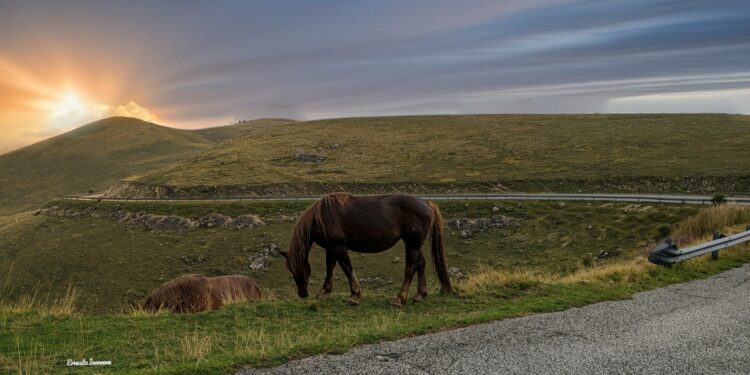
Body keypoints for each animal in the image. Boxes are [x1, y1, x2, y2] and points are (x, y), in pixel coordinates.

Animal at [278, 192, 450, 306]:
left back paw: (399, 299)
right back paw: (420, 295)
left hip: (412, 245)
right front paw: (324, 292)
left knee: (410, 269)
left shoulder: (339, 247)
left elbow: (347, 269)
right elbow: (330, 269)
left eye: (296, 269)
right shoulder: (331, 248)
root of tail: (427, 204)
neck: (321, 216)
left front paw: (354, 296)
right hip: (414, 244)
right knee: (421, 265)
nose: (302, 293)